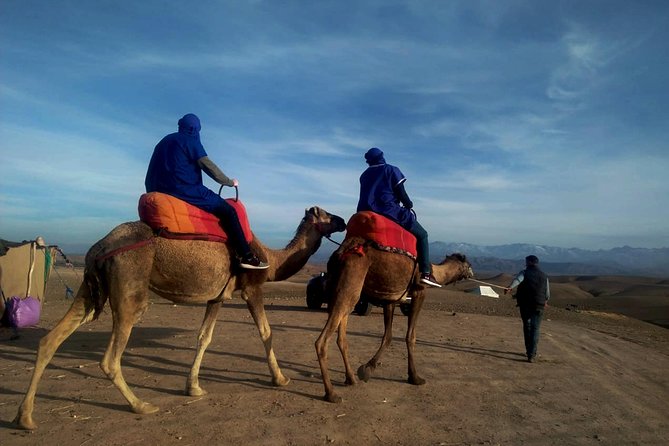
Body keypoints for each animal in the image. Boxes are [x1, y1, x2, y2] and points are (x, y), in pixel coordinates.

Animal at [15, 206, 346, 430]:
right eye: (326, 214)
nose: (343, 220)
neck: (271, 259)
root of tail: (97, 248)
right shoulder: (252, 288)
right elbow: (266, 332)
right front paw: (280, 378)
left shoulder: (217, 297)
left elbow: (204, 337)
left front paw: (193, 387)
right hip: (130, 288)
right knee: (110, 357)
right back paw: (141, 405)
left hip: (90, 289)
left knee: (50, 339)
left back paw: (25, 417)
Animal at [315, 236, 474, 403]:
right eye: (468, 265)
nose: (472, 273)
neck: (435, 271)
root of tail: (340, 253)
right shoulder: (419, 292)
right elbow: (411, 336)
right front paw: (415, 378)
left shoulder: (390, 300)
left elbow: (388, 336)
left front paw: (367, 368)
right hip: (349, 285)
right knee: (322, 341)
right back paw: (331, 394)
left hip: (343, 290)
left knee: (342, 338)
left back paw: (351, 379)